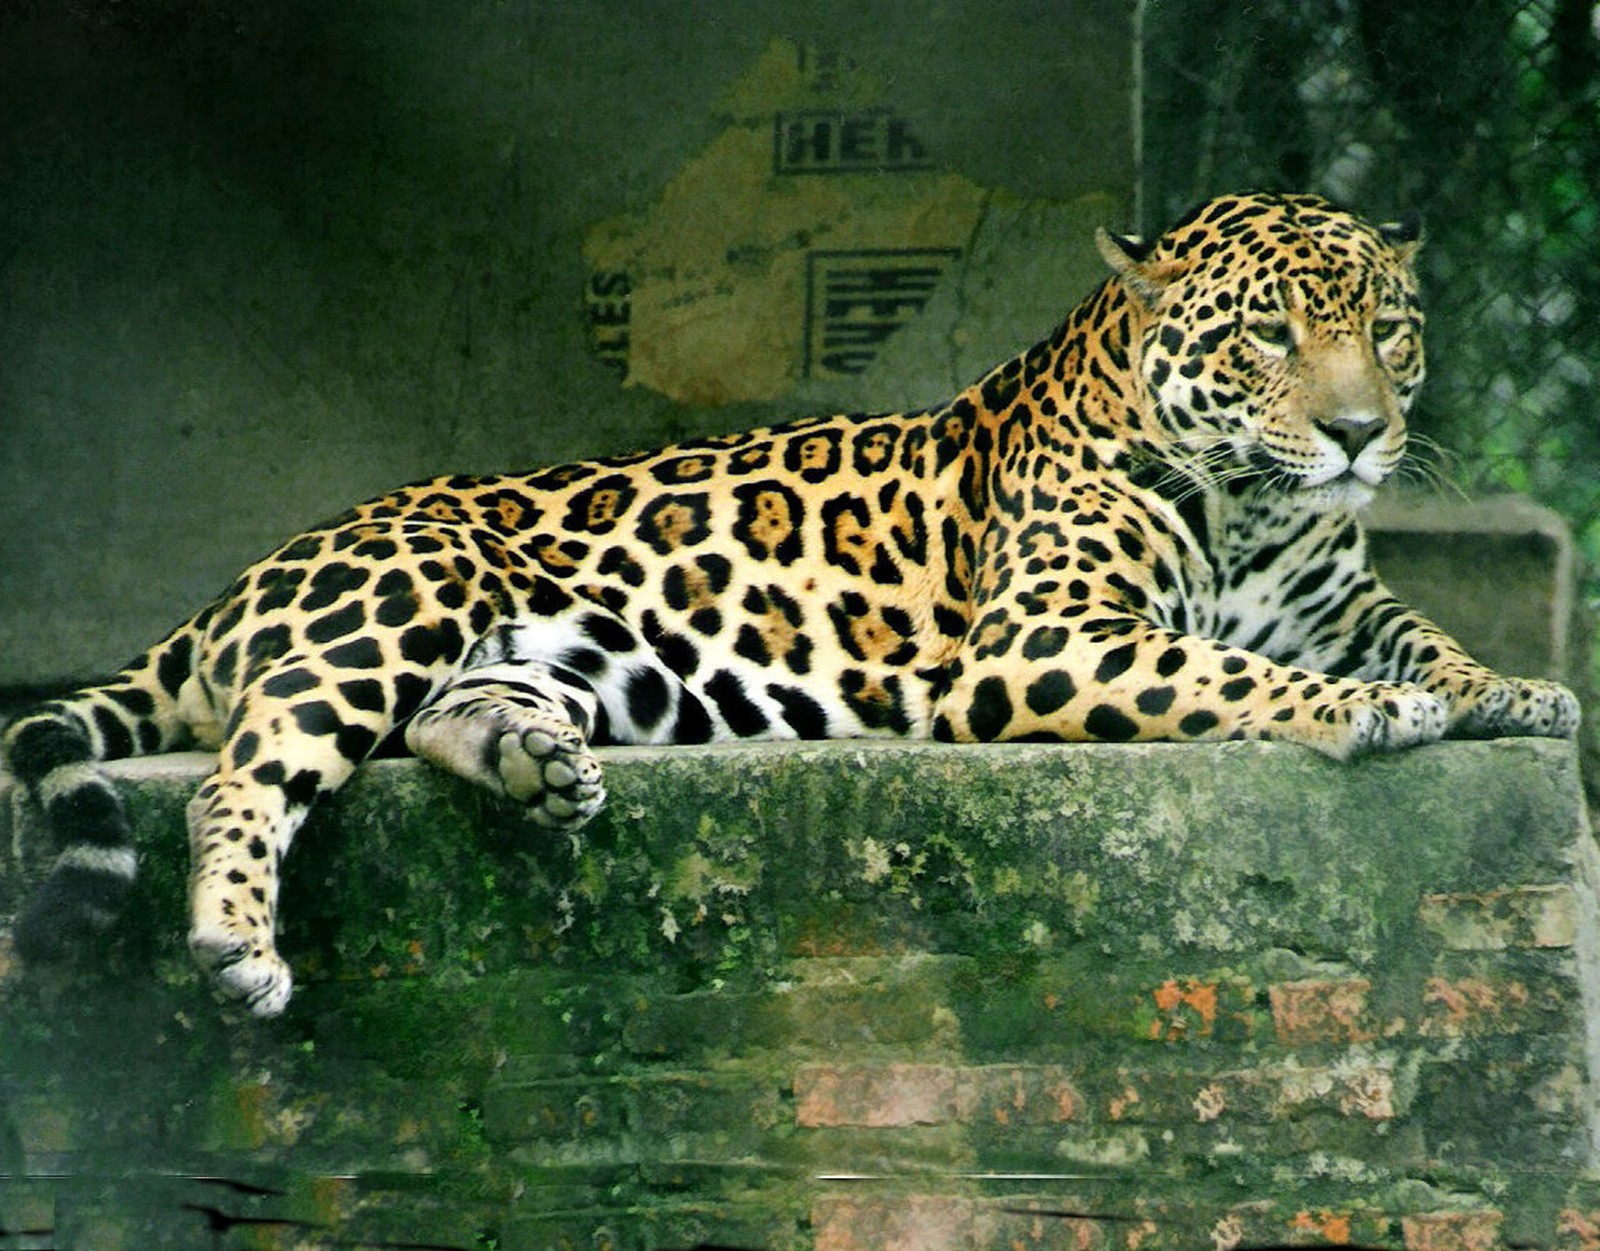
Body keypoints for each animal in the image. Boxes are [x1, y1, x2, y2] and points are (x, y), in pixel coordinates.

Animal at [2, 191, 1579, 1017]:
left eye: (1387, 329)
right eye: (1267, 336)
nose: (1364, 434)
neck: (1253, 506)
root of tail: (245, 579)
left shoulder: (1331, 591)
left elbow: (1422, 629)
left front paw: (1513, 687)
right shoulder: (1041, 644)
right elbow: (1228, 674)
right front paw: (1372, 709)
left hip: (566, 657)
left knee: (447, 719)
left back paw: (536, 765)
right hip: (405, 593)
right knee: (244, 771)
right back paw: (234, 941)